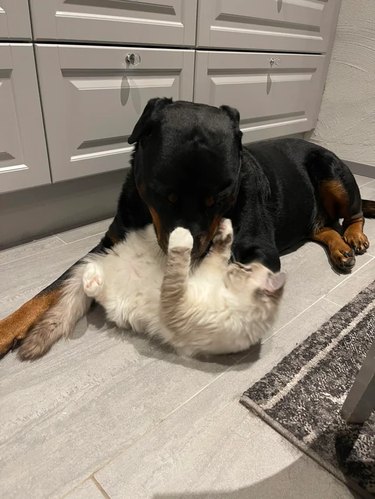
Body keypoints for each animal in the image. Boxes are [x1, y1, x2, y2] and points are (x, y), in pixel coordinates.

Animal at [27, 221, 286, 358]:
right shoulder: (209, 269)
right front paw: (225, 228)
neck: (227, 295)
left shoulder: (176, 305)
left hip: (116, 302)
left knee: (93, 285)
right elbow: (219, 250)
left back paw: (92, 278)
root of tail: (108, 261)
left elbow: (178, 264)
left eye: (244, 268)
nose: (235, 265)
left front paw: (182, 237)